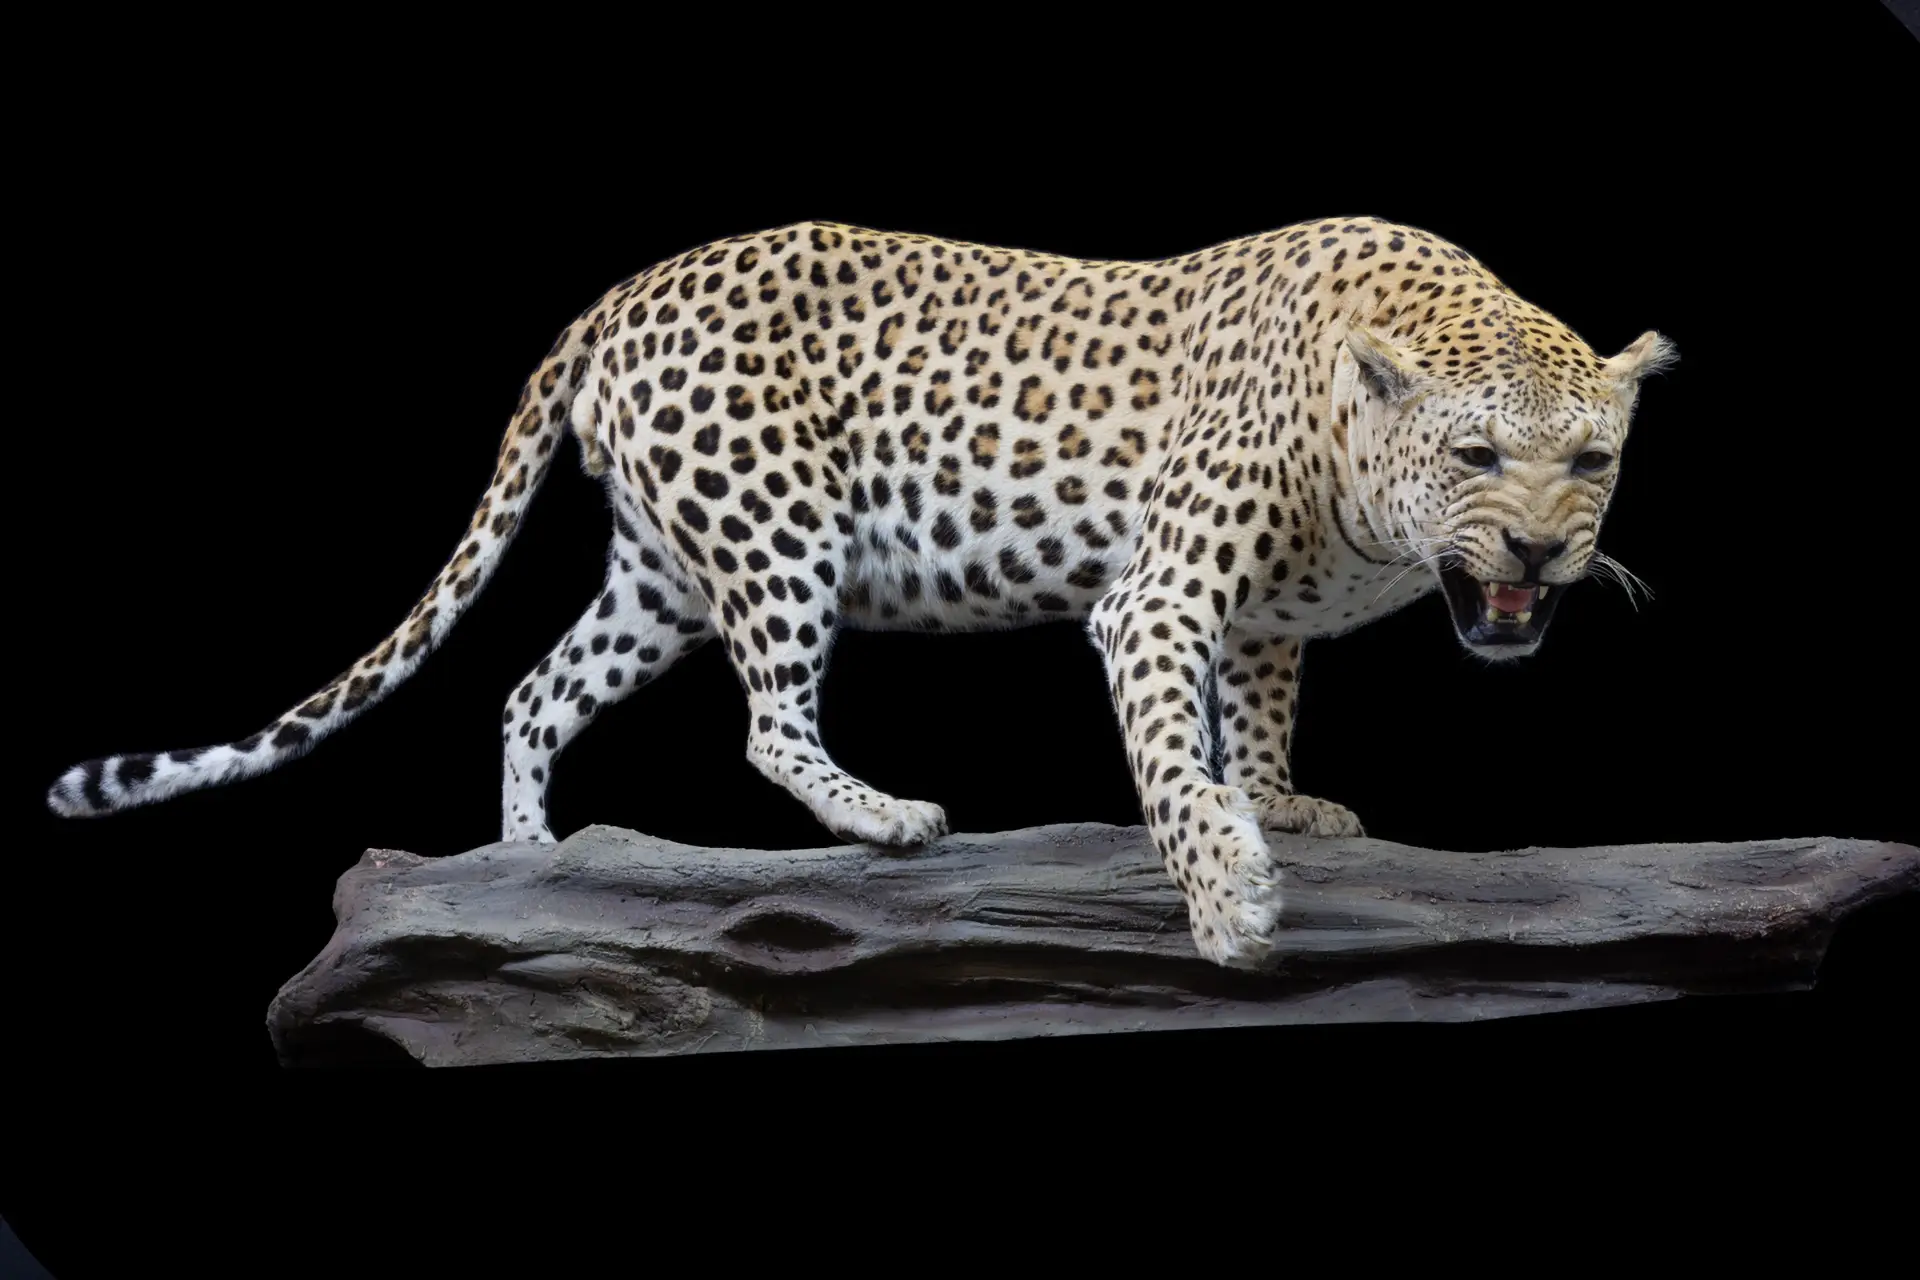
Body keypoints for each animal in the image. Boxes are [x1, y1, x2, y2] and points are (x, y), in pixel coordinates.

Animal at [45, 216, 1675, 969]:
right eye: (1476, 455)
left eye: (1591, 461)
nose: (1541, 554)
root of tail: (617, 294)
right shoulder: (1154, 597)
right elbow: (1169, 758)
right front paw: (1226, 899)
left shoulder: (1267, 617)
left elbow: (1253, 719)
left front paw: (1283, 803)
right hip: (777, 530)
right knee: (767, 720)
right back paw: (887, 819)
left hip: (661, 572)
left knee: (532, 689)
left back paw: (530, 864)